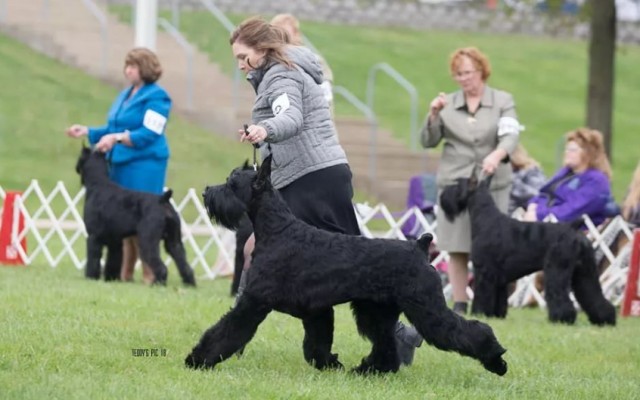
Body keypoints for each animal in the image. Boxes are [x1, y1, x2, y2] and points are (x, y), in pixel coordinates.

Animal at [74, 145, 195, 286]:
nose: (76, 168)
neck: (97, 184)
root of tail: (163, 199)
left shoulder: (93, 237)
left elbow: (93, 259)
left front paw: (91, 277)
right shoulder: (115, 241)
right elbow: (113, 261)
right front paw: (111, 278)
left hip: (147, 241)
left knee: (161, 266)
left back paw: (157, 284)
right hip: (174, 241)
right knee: (183, 262)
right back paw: (189, 283)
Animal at [185, 156, 510, 376]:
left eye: (231, 184)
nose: (205, 193)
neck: (278, 230)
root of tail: (420, 245)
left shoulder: (254, 302)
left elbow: (226, 330)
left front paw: (197, 358)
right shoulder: (316, 310)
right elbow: (316, 343)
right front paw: (331, 364)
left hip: (425, 307)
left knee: (468, 329)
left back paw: (496, 360)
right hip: (376, 312)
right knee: (385, 345)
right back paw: (369, 370)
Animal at [440, 176, 616, 324]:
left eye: (456, 185)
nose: (443, 195)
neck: (485, 218)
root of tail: (572, 228)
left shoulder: (484, 272)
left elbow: (482, 296)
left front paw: (479, 313)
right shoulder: (499, 278)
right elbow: (499, 298)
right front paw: (496, 315)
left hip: (557, 270)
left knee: (559, 295)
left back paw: (562, 319)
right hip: (585, 273)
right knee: (594, 295)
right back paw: (605, 319)